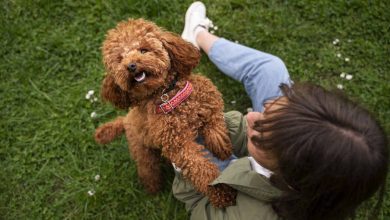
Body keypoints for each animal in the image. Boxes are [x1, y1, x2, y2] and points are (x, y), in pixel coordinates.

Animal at [94, 18, 235, 208]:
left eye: (143, 50)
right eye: (120, 59)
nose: (131, 66)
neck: (167, 95)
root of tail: (125, 120)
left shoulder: (209, 97)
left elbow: (214, 121)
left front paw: (220, 146)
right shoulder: (178, 145)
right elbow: (200, 169)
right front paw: (221, 192)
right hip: (142, 151)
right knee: (148, 169)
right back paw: (153, 188)